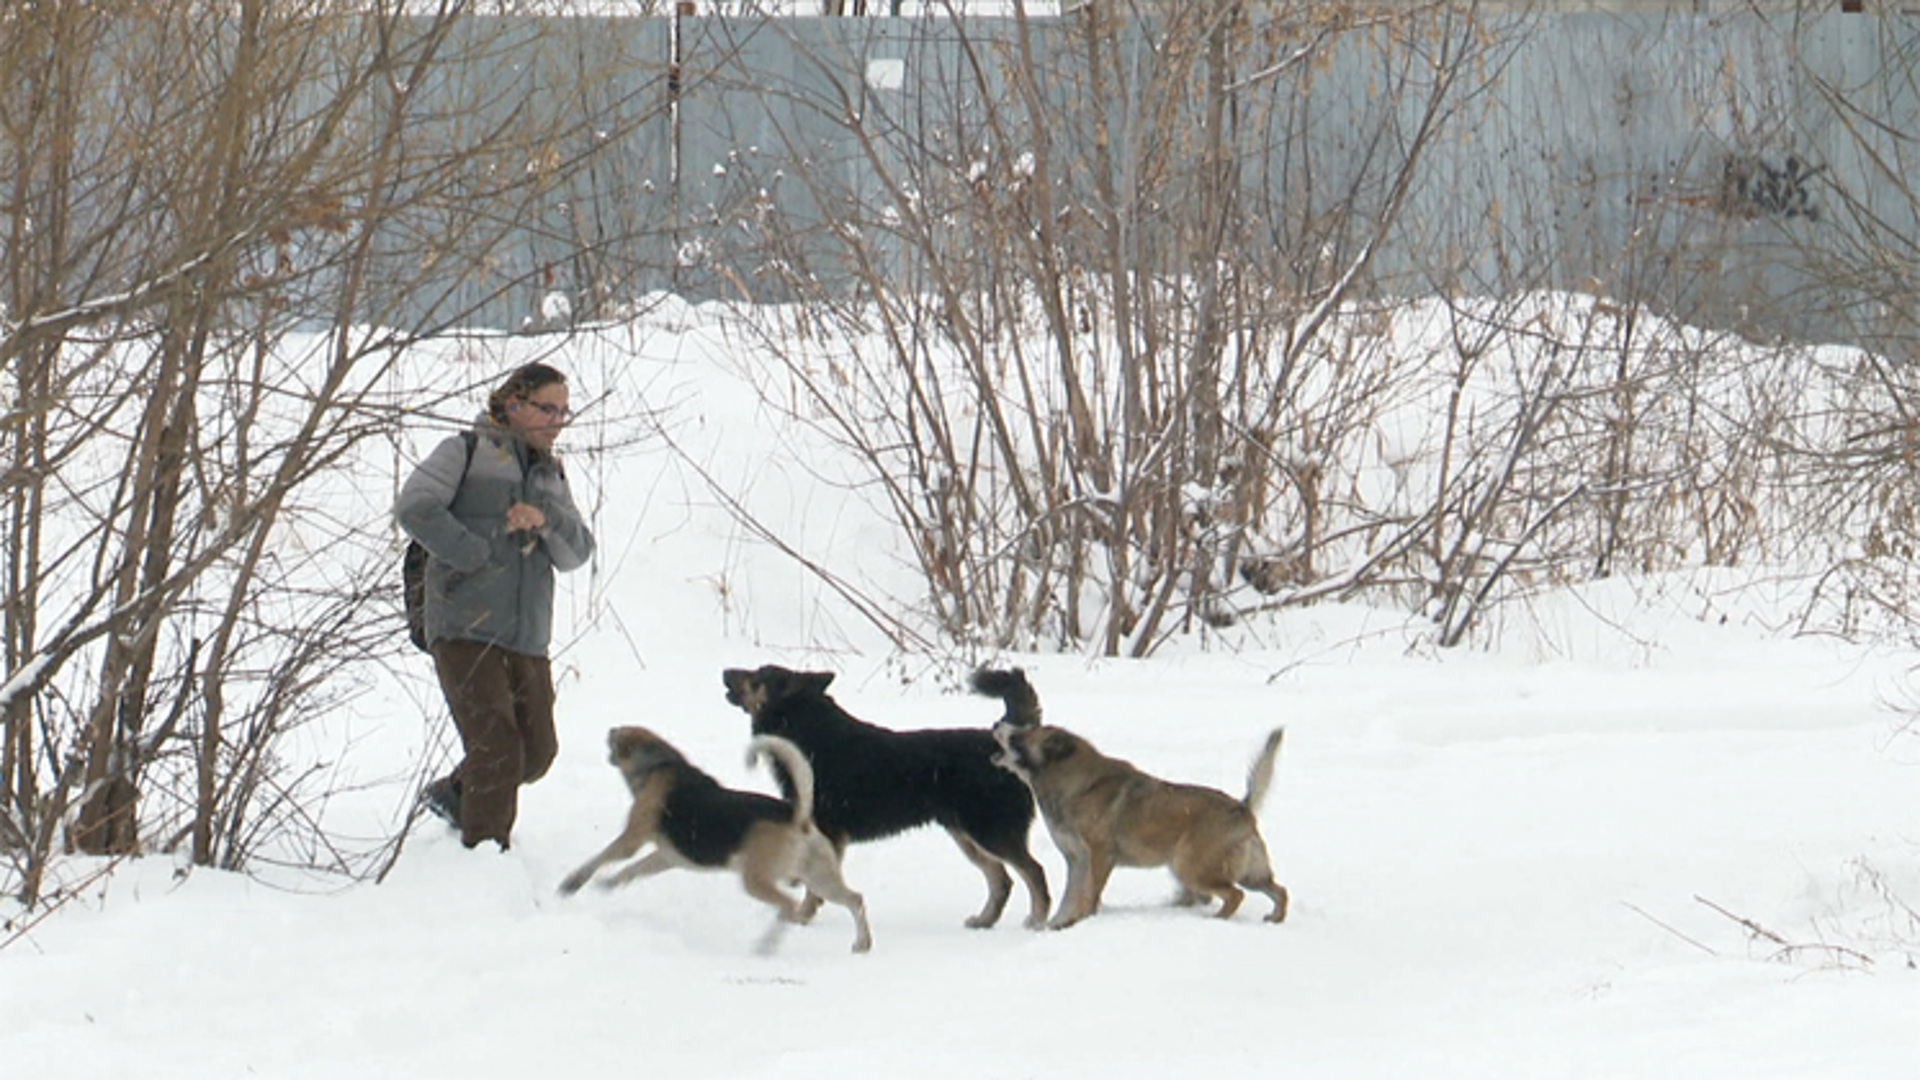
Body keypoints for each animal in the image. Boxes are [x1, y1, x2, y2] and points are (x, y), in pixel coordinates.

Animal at [560, 722, 875, 949]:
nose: (610, 730)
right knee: (855, 900)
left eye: (620, 736)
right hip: (820, 878)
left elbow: (602, 857)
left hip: (757, 880)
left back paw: (766, 945)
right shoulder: (668, 857)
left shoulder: (632, 839)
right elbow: (632, 870)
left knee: (789, 905)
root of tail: (798, 818)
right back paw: (862, 944)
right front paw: (609, 884)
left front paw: (571, 883)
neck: (659, 765)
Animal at [721, 664, 1052, 926]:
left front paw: (801, 918)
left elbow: (814, 889)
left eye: (758, 676)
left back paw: (1038, 920)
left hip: (991, 832)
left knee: (1033, 873)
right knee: (1001, 880)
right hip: (967, 836)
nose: (725, 672)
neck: (807, 734)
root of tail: (1007, 747)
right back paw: (985, 920)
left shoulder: (827, 832)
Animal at [975, 664, 1290, 926]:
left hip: (1190, 867)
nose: (996, 725)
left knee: (1235, 895)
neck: (1076, 785)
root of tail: (1242, 808)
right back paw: (1274, 917)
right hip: (1248, 873)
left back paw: (1216, 920)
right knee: (1279, 891)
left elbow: (1088, 895)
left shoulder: (1099, 856)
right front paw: (1060, 924)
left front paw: (1080, 921)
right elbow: (1070, 898)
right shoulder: (1077, 860)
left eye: (1019, 735)